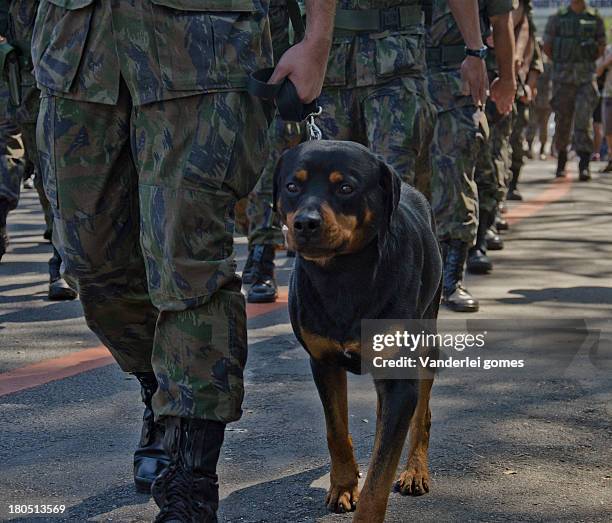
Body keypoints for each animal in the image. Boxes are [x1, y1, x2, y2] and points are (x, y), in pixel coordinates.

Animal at [274, 140, 442, 523]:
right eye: (292, 186)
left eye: (346, 188)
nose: (305, 223)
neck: (343, 273)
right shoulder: (323, 362)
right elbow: (336, 431)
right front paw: (344, 486)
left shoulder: (400, 377)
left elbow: (380, 475)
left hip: (428, 339)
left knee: (421, 414)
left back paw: (415, 471)